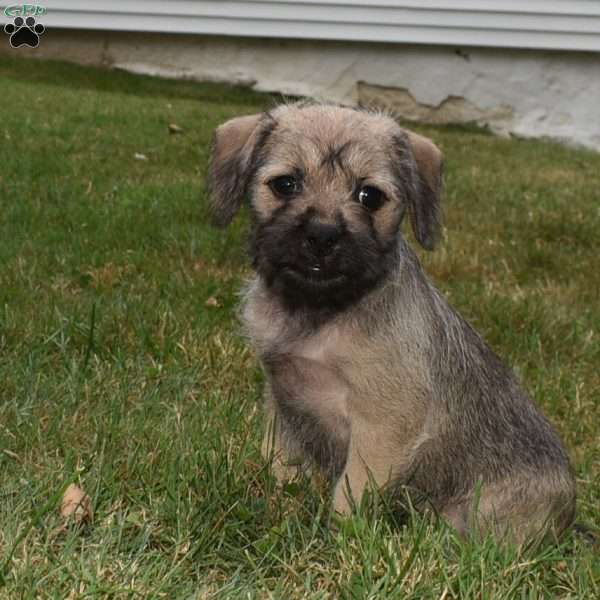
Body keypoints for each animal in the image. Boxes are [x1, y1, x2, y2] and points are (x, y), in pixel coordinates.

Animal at [207, 103, 576, 544]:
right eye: (286, 184)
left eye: (370, 196)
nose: (322, 235)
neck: (321, 313)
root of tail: (572, 521)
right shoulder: (283, 406)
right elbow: (280, 463)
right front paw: (276, 500)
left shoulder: (383, 425)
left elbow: (351, 491)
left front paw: (338, 539)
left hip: (480, 514)